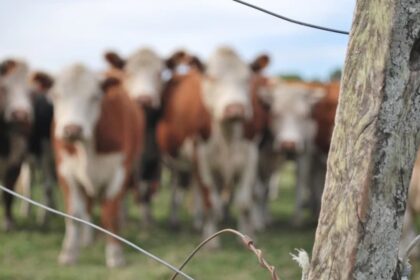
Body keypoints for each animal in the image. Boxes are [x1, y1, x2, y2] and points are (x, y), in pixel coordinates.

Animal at [33, 64, 144, 268]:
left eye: (95, 97)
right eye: (56, 95)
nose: (72, 129)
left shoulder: (118, 173)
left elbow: (111, 215)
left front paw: (115, 255)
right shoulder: (66, 173)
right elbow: (74, 214)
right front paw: (69, 253)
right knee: (87, 208)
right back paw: (86, 239)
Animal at [102, 47, 186, 225]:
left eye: (160, 72)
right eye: (128, 72)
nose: (144, 99)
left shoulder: (155, 158)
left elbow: (147, 187)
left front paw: (148, 220)